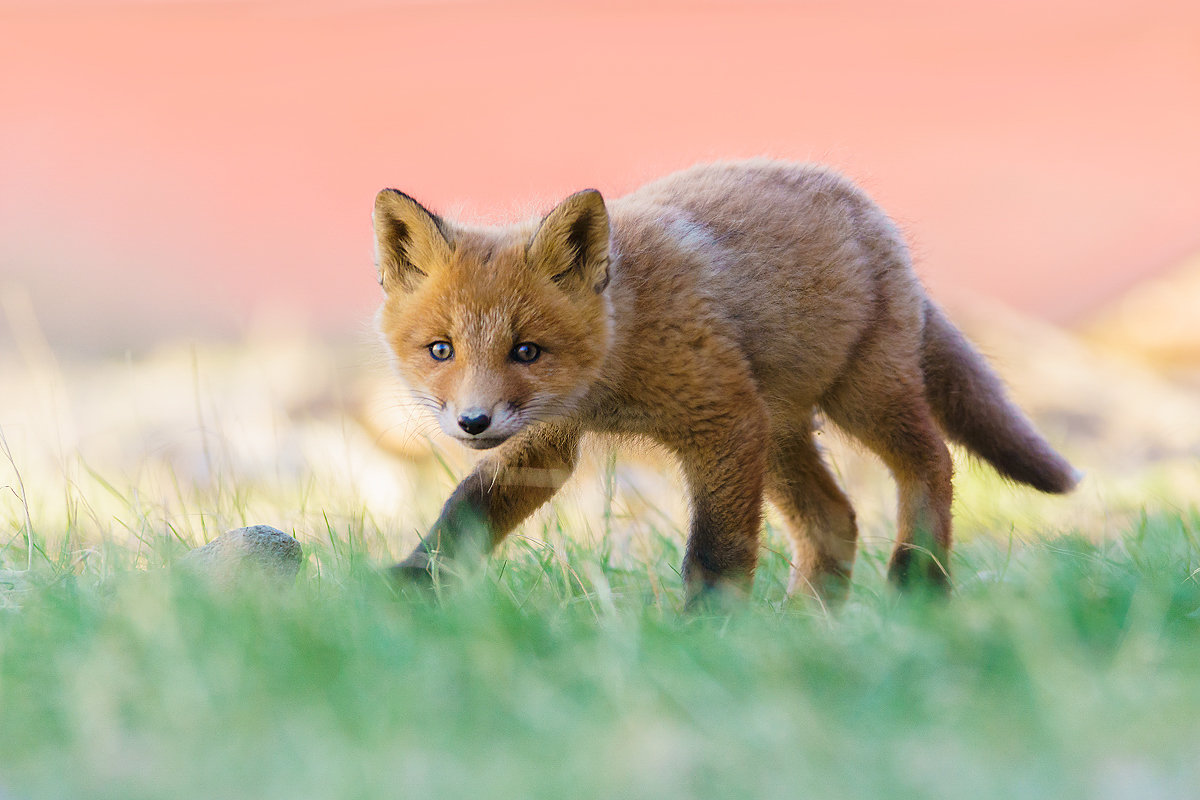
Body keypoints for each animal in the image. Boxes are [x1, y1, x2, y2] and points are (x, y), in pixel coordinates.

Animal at [374, 158, 1080, 606]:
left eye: (527, 351)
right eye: (441, 350)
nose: (472, 422)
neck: (619, 357)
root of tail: (868, 211)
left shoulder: (722, 420)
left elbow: (715, 552)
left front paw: (704, 628)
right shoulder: (548, 436)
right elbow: (465, 512)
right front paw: (410, 586)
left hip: (860, 397)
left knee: (932, 462)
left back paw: (917, 585)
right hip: (781, 434)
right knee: (835, 521)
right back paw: (805, 624)